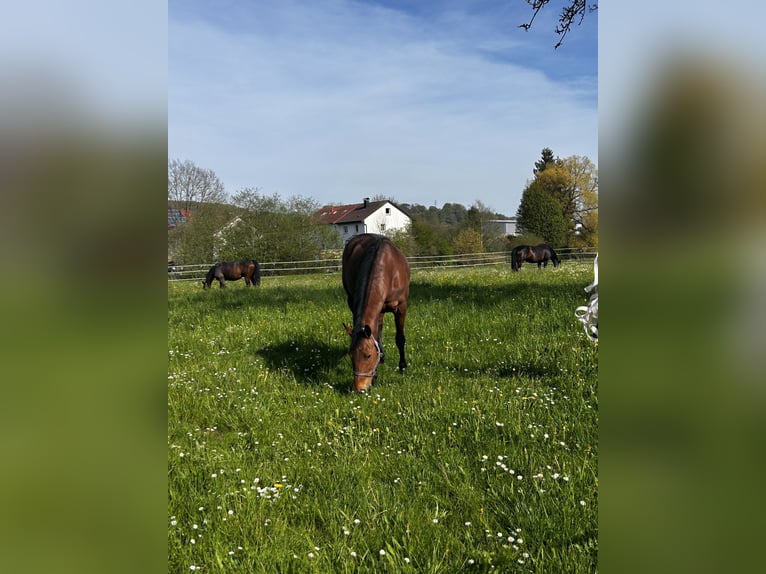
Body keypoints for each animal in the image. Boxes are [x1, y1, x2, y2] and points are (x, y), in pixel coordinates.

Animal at [342, 234, 410, 393]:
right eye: (350, 355)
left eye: (368, 355)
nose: (360, 389)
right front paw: (375, 376)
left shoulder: (401, 307)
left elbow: (400, 338)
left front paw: (403, 367)